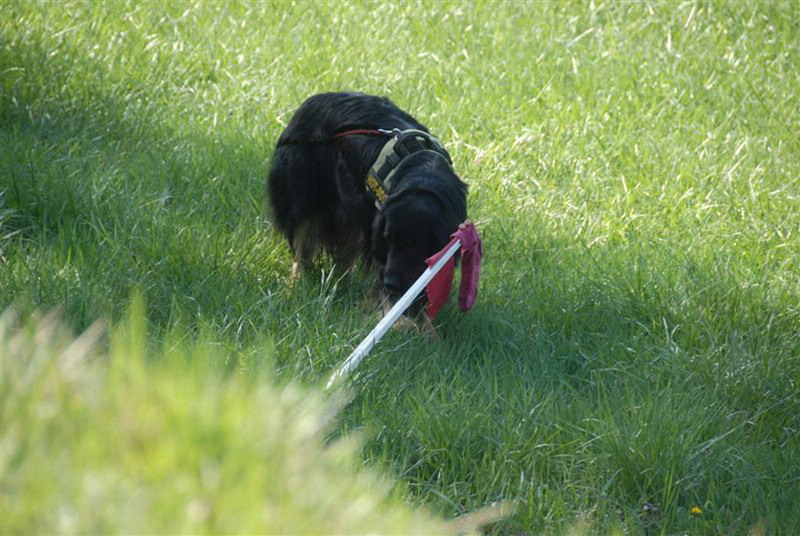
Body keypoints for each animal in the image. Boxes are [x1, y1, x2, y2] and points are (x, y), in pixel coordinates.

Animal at [267, 92, 468, 324]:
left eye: (416, 243)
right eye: (389, 239)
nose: (391, 283)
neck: (424, 180)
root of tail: (310, 102)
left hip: (350, 219)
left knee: (343, 257)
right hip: (305, 199)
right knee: (302, 250)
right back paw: (297, 287)